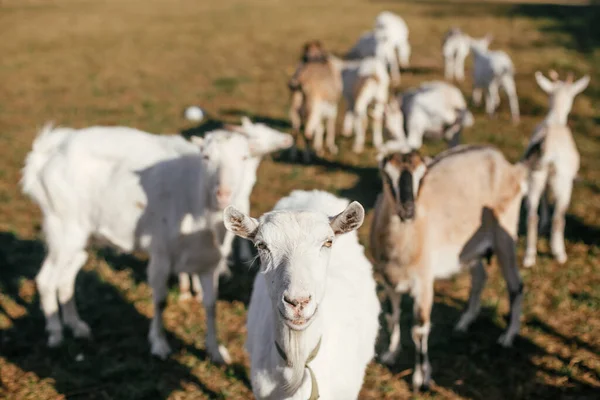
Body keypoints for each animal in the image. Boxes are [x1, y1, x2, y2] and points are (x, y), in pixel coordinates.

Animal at [368, 143, 536, 390]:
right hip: (470, 247)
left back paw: (507, 337)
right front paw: (391, 353)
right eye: (388, 176)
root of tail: (512, 168)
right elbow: (392, 316)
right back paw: (464, 322)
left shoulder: (423, 282)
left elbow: (419, 329)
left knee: (516, 284)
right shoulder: (389, 279)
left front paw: (421, 379)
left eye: (422, 176)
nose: (408, 211)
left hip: (505, 234)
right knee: (480, 277)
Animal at [524, 70, 588, 268]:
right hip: (563, 182)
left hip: (534, 176)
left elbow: (545, 196)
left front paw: (543, 224)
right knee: (559, 217)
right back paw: (559, 253)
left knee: (531, 215)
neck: (555, 118)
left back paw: (529, 257)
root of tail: (548, 146)